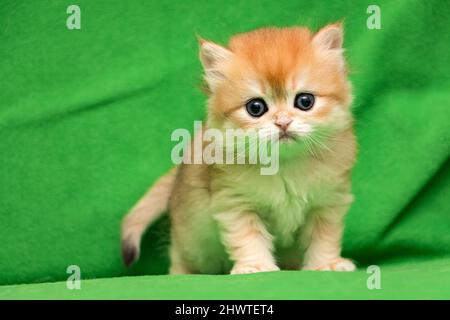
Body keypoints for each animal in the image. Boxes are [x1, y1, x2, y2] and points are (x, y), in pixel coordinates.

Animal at [121, 23, 356, 276]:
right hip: (192, 241)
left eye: (305, 101)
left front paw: (326, 264)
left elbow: (324, 238)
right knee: (179, 258)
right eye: (256, 107)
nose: (283, 122)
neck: (284, 165)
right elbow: (248, 238)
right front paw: (256, 266)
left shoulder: (328, 203)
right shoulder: (236, 204)